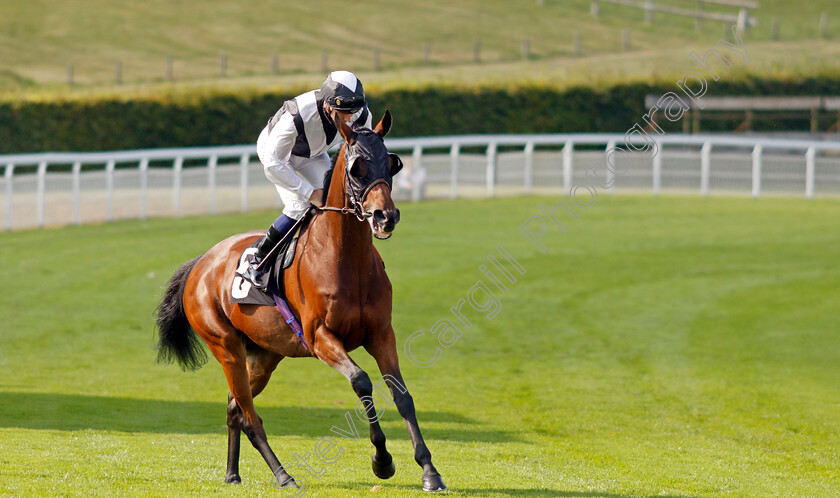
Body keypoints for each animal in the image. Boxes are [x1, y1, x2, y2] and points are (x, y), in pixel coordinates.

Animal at [156, 112, 446, 490]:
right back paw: (284, 475)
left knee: (234, 408)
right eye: (357, 167)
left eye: (392, 163)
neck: (346, 259)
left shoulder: (382, 333)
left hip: (264, 356)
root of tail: (200, 263)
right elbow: (361, 381)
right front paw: (382, 461)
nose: (386, 216)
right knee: (249, 416)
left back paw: (233, 473)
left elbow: (402, 395)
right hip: (226, 348)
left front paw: (429, 470)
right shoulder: (321, 337)